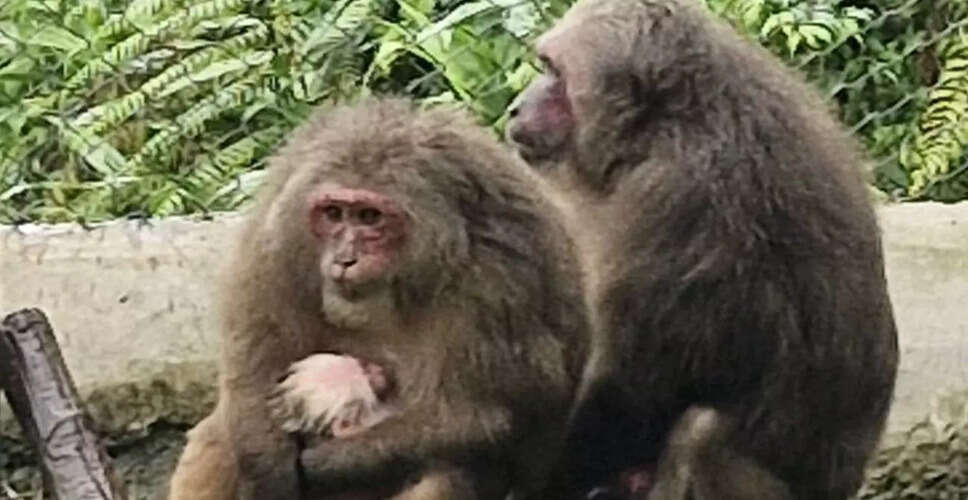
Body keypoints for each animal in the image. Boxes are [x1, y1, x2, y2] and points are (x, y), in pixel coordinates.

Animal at [165, 96, 591, 500]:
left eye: (370, 217)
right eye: (334, 213)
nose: (344, 259)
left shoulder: (498, 283)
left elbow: (480, 419)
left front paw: (321, 463)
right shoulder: (276, 246)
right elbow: (251, 379)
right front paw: (270, 468)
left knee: (450, 467)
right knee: (221, 433)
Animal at [505, 0, 900, 498]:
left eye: (554, 73)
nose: (516, 107)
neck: (670, 123)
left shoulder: (677, 198)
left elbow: (631, 390)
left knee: (700, 435)